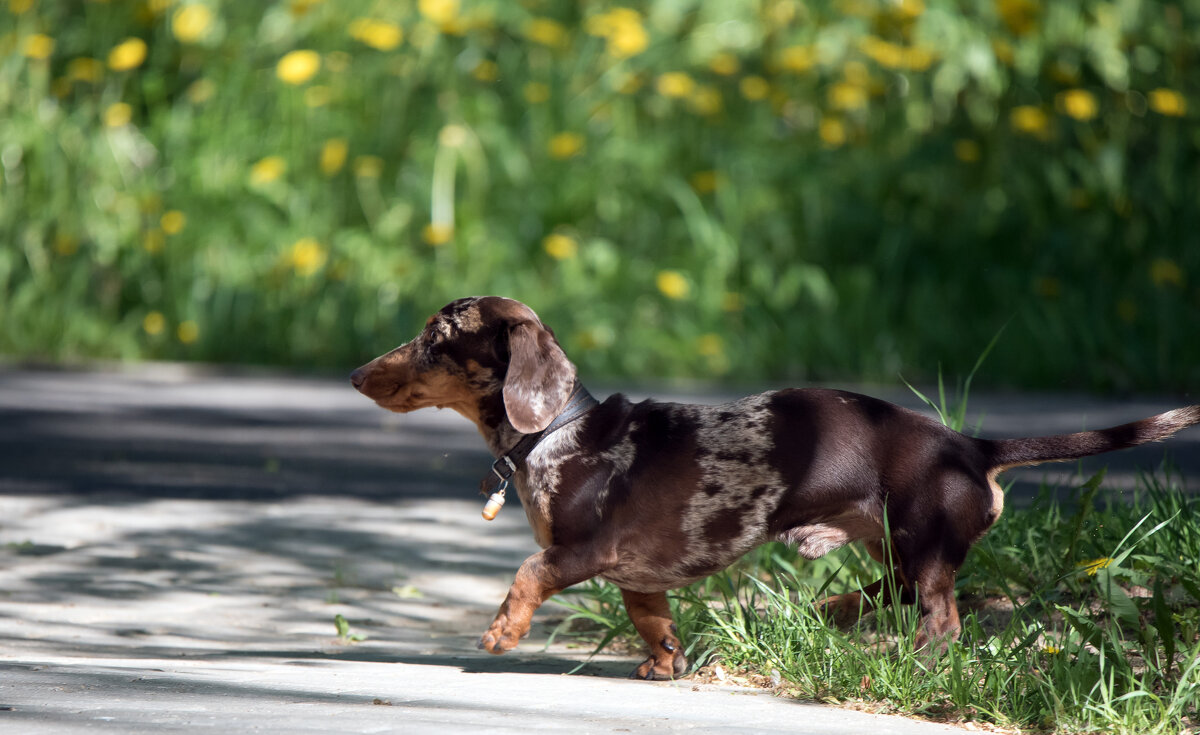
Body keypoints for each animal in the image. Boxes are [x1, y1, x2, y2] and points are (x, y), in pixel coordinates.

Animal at [350, 295, 1195, 682]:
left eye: (435, 339)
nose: (357, 373)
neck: (555, 432)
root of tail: (966, 443)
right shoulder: (637, 575)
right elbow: (653, 621)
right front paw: (665, 665)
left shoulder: (587, 549)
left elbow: (529, 569)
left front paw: (502, 630)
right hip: (894, 540)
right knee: (893, 591)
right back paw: (834, 608)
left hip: (923, 540)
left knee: (941, 617)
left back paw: (911, 662)